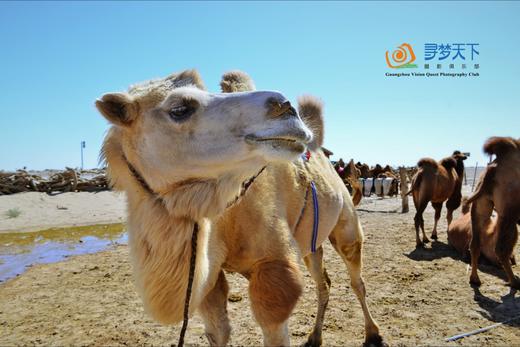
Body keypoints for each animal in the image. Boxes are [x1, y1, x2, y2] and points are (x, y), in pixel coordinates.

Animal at [96, 69, 382, 346]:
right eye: (180, 109)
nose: (285, 106)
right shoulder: (209, 280)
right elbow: (217, 332)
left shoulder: (274, 271)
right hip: (311, 243)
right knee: (323, 280)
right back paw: (314, 338)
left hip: (346, 226)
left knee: (356, 279)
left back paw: (373, 334)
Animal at [468, 137, 520, 290]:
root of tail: (493, 167)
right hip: (509, 212)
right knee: (501, 249)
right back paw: (514, 282)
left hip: (480, 204)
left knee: (475, 245)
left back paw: (475, 279)